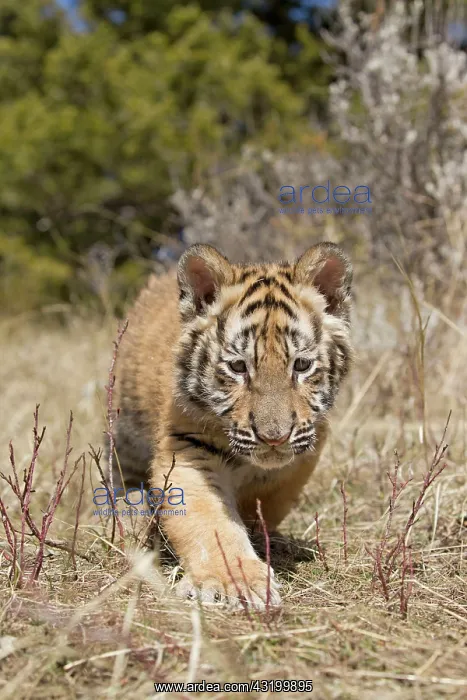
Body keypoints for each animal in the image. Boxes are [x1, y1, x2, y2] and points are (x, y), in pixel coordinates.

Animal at [112, 242, 353, 608]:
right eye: (238, 367)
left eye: (301, 365)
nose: (274, 437)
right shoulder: (187, 448)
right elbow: (211, 521)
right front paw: (233, 583)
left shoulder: (306, 450)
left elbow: (269, 501)